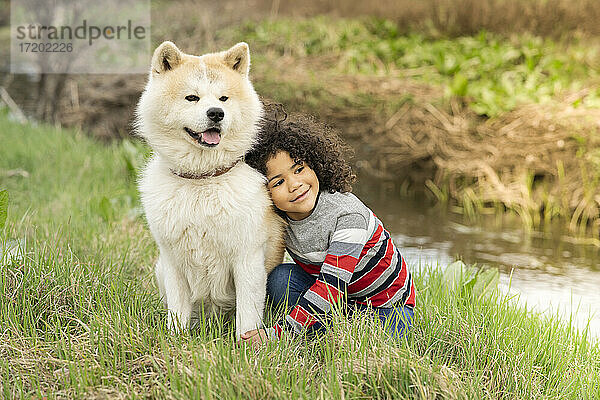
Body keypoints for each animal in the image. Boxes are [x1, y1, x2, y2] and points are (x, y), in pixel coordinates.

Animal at [137, 41, 286, 338]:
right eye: (192, 98)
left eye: (224, 98)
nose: (216, 113)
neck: (202, 179)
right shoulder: (173, 261)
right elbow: (177, 311)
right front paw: (175, 339)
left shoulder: (247, 259)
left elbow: (247, 317)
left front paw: (246, 344)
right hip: (160, 269)